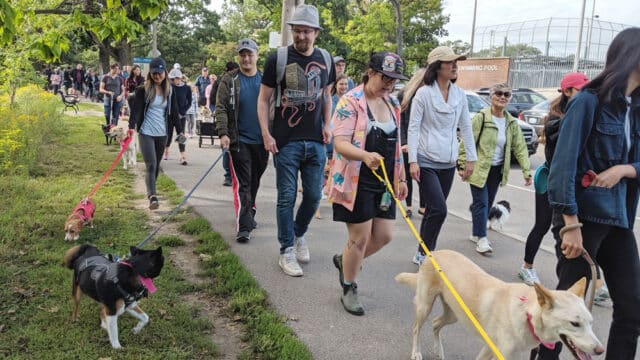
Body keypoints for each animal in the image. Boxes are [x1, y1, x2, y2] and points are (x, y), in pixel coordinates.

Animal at [396, 250, 604, 360]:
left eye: (591, 323)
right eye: (575, 324)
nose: (600, 350)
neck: (527, 315)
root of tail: (433, 253)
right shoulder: (492, 350)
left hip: (455, 313)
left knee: (436, 324)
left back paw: (439, 350)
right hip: (425, 305)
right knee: (416, 327)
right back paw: (416, 352)